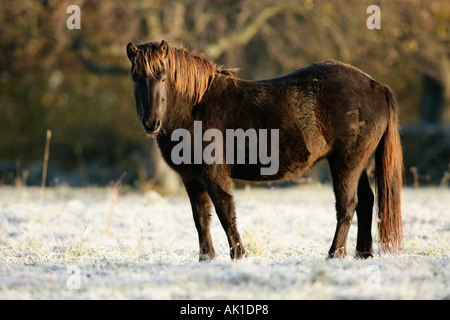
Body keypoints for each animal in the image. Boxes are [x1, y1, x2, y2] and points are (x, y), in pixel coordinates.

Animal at [125, 40, 402, 260]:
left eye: (163, 77)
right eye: (136, 79)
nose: (151, 123)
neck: (196, 107)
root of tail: (377, 86)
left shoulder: (213, 174)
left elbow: (225, 213)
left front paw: (239, 255)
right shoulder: (191, 178)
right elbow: (201, 218)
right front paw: (206, 259)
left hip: (346, 163)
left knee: (347, 206)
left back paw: (334, 254)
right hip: (359, 164)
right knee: (366, 202)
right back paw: (363, 255)